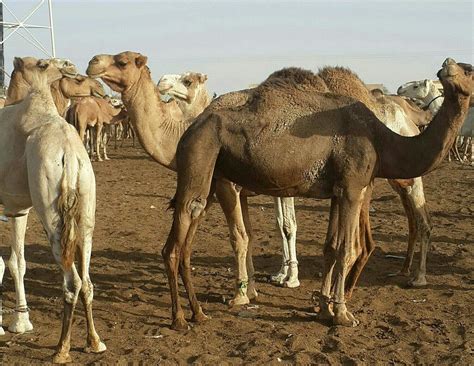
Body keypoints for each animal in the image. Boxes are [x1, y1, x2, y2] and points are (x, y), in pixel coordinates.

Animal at [0, 57, 104, 364]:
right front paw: (21, 321)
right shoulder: (18, 208)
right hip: (85, 209)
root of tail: (69, 152)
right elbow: (17, 263)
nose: (71, 66)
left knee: (72, 282)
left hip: (52, 216)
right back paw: (94, 342)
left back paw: (61, 349)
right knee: (87, 280)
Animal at [156, 59, 470, 328]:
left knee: (188, 235)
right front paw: (343, 314)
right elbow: (346, 248)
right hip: (200, 158)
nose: (448, 66)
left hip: (212, 176)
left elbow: (331, 247)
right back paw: (180, 319)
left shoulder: (338, 191)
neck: (380, 138)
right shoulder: (353, 187)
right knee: (176, 239)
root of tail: (190, 128)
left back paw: (199, 313)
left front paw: (324, 308)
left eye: (468, 69)